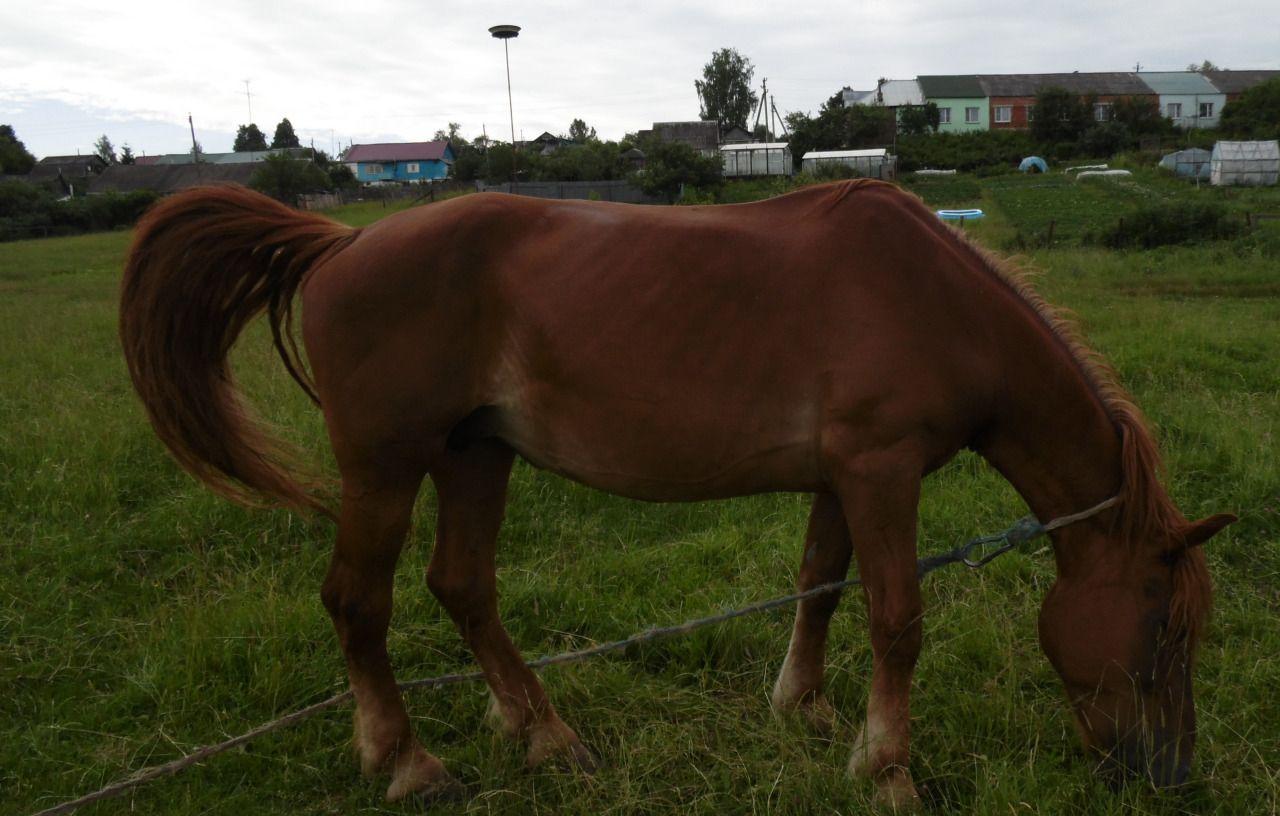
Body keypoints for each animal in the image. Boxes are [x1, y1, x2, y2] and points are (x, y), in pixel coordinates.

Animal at [117, 181, 1228, 808]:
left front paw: (804, 709)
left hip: (476, 455)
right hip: (385, 466)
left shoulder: (846, 475)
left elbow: (820, 586)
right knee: (359, 603)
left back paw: (543, 734)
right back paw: (407, 764)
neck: (936, 301)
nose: (1169, 775)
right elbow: (896, 618)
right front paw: (887, 770)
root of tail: (343, 243)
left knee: (462, 587)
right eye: (1164, 629)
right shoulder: (880, 470)